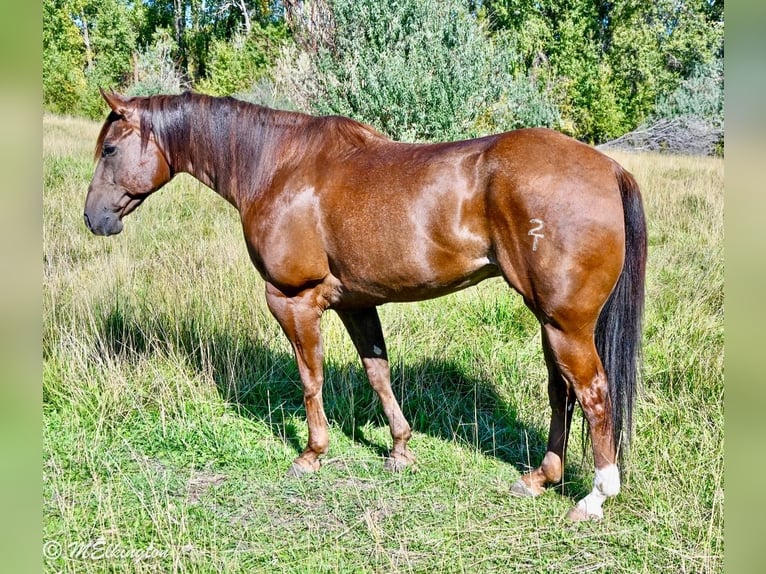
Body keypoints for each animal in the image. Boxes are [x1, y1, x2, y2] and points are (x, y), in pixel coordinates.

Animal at [84, 89, 646, 521]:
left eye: (109, 148)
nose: (93, 218)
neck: (277, 165)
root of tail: (608, 167)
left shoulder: (293, 300)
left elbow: (311, 378)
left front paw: (311, 454)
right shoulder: (355, 303)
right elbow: (378, 373)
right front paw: (399, 449)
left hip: (565, 324)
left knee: (592, 394)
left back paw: (595, 497)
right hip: (549, 320)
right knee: (561, 393)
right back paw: (539, 478)